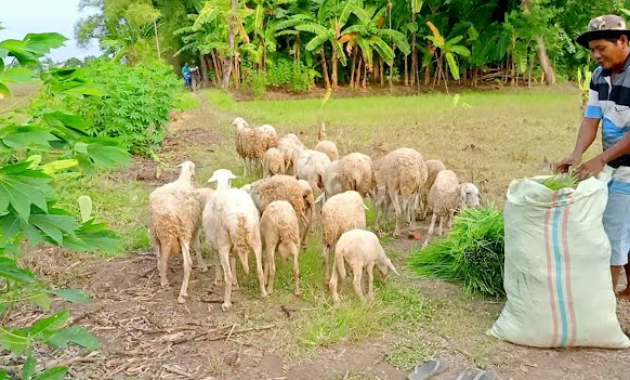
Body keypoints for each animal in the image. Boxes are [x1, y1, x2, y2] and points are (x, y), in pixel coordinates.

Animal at [149, 160, 206, 302]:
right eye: (193, 168)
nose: (195, 174)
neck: (183, 179)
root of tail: (168, 218)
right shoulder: (195, 226)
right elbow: (197, 246)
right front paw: (202, 266)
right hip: (183, 231)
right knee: (188, 263)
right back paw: (182, 293)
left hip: (158, 233)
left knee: (162, 258)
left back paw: (164, 280)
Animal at [206, 169, 268, 312]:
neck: (222, 187)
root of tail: (239, 215)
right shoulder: (233, 248)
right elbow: (233, 262)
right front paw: (236, 284)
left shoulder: (215, 244)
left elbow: (216, 261)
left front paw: (218, 280)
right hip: (256, 238)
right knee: (259, 269)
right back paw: (264, 293)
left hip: (223, 242)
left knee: (227, 275)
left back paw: (226, 303)